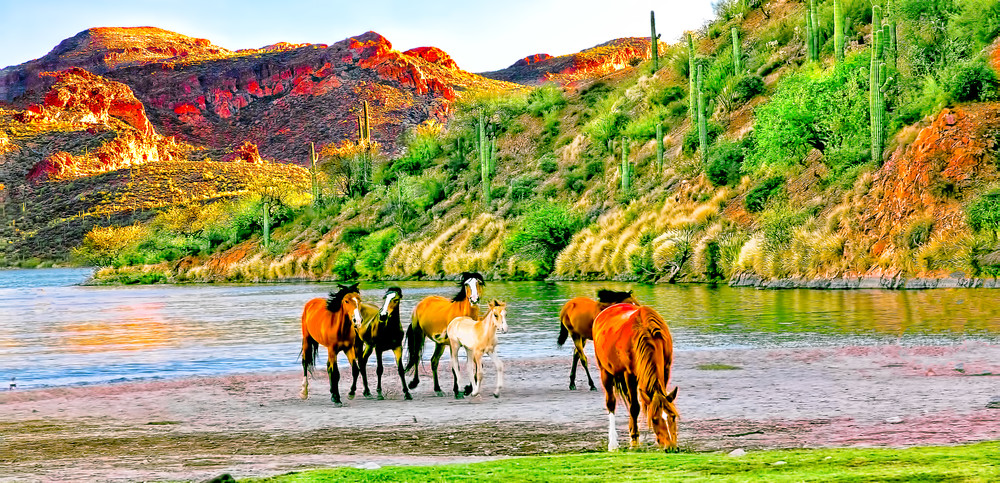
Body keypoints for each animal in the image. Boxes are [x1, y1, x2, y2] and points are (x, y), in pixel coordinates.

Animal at [592, 302, 679, 452]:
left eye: (673, 417)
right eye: (654, 420)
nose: (671, 448)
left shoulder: (666, 369)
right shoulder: (629, 374)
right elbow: (634, 408)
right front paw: (634, 441)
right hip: (605, 372)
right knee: (611, 403)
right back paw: (613, 443)